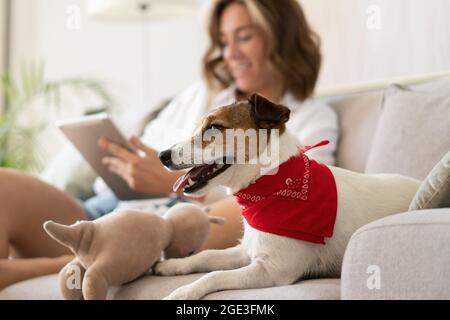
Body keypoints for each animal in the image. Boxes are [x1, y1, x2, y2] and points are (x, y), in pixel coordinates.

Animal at [154, 93, 418, 300]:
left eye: (214, 128)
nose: (162, 155)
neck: (269, 184)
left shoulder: (271, 271)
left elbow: (213, 275)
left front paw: (182, 292)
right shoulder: (246, 251)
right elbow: (205, 256)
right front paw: (173, 264)